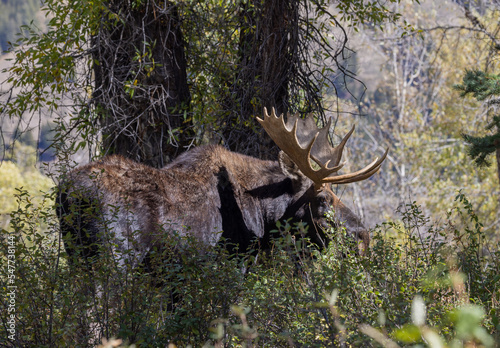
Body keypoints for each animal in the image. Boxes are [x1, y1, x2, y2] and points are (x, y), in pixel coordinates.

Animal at [57, 107, 386, 268]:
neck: (264, 216)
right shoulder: (233, 262)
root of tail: (70, 192)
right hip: (114, 258)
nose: (363, 237)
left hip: (77, 256)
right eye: (323, 199)